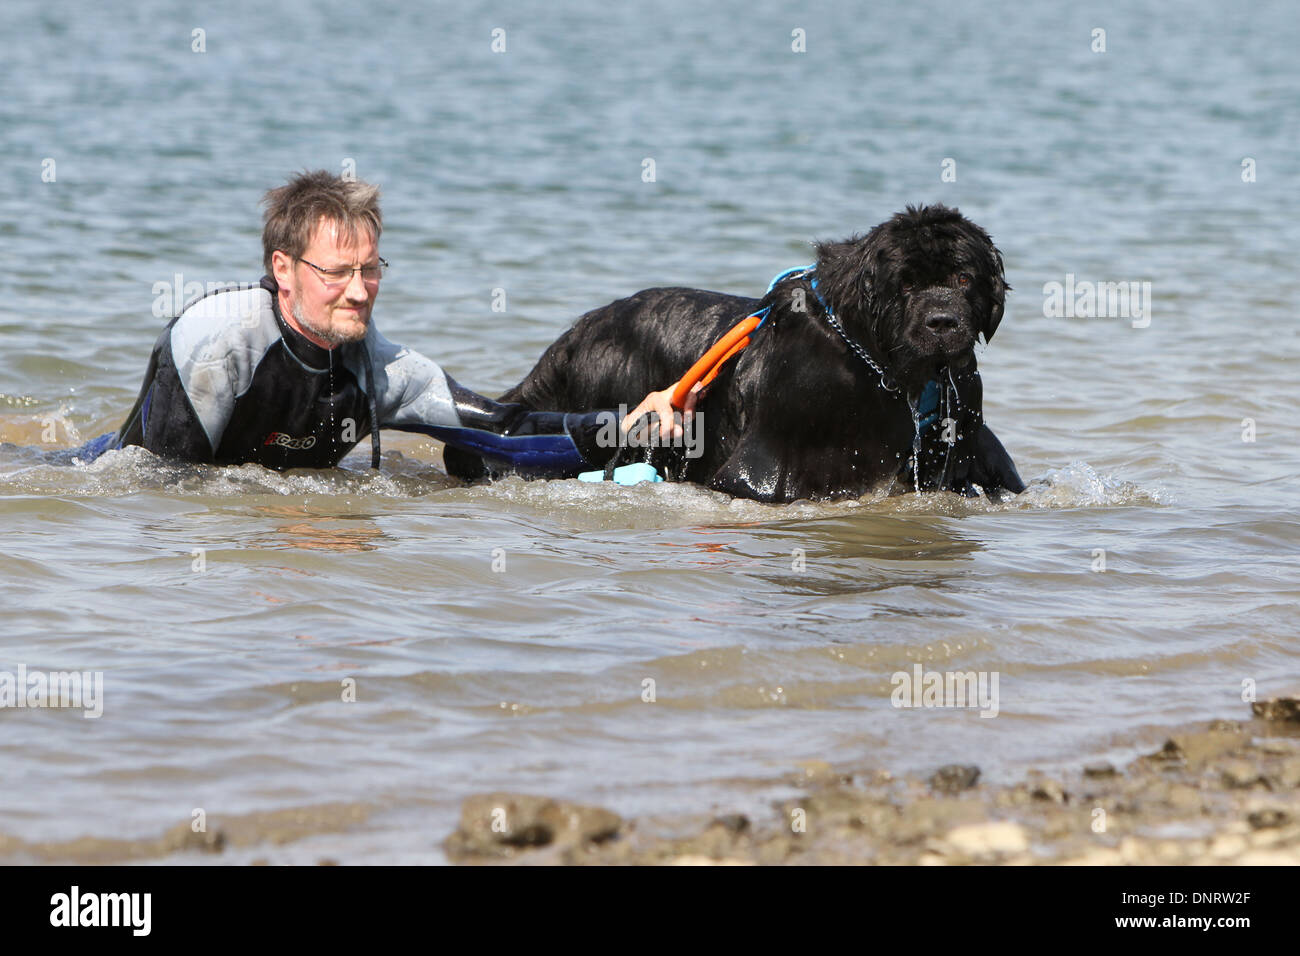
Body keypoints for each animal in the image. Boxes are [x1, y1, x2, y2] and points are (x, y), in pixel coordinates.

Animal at [447, 205, 1024, 504]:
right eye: (905, 283)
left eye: (964, 279)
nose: (942, 321)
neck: (877, 365)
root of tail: (577, 334)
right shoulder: (767, 463)